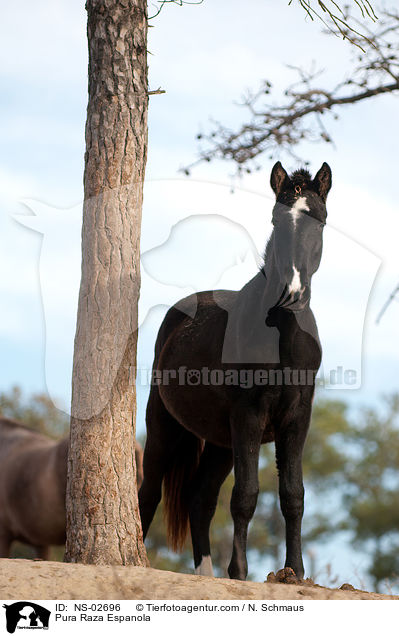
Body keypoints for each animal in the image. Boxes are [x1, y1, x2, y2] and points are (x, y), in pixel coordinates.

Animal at [139, 160, 332, 580]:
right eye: (277, 219)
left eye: (318, 219)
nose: (292, 291)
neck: (281, 335)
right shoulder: (249, 415)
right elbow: (246, 495)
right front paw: (240, 571)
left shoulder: (297, 418)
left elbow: (293, 494)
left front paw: (293, 571)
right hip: (165, 423)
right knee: (148, 491)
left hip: (219, 442)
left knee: (200, 499)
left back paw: (206, 574)